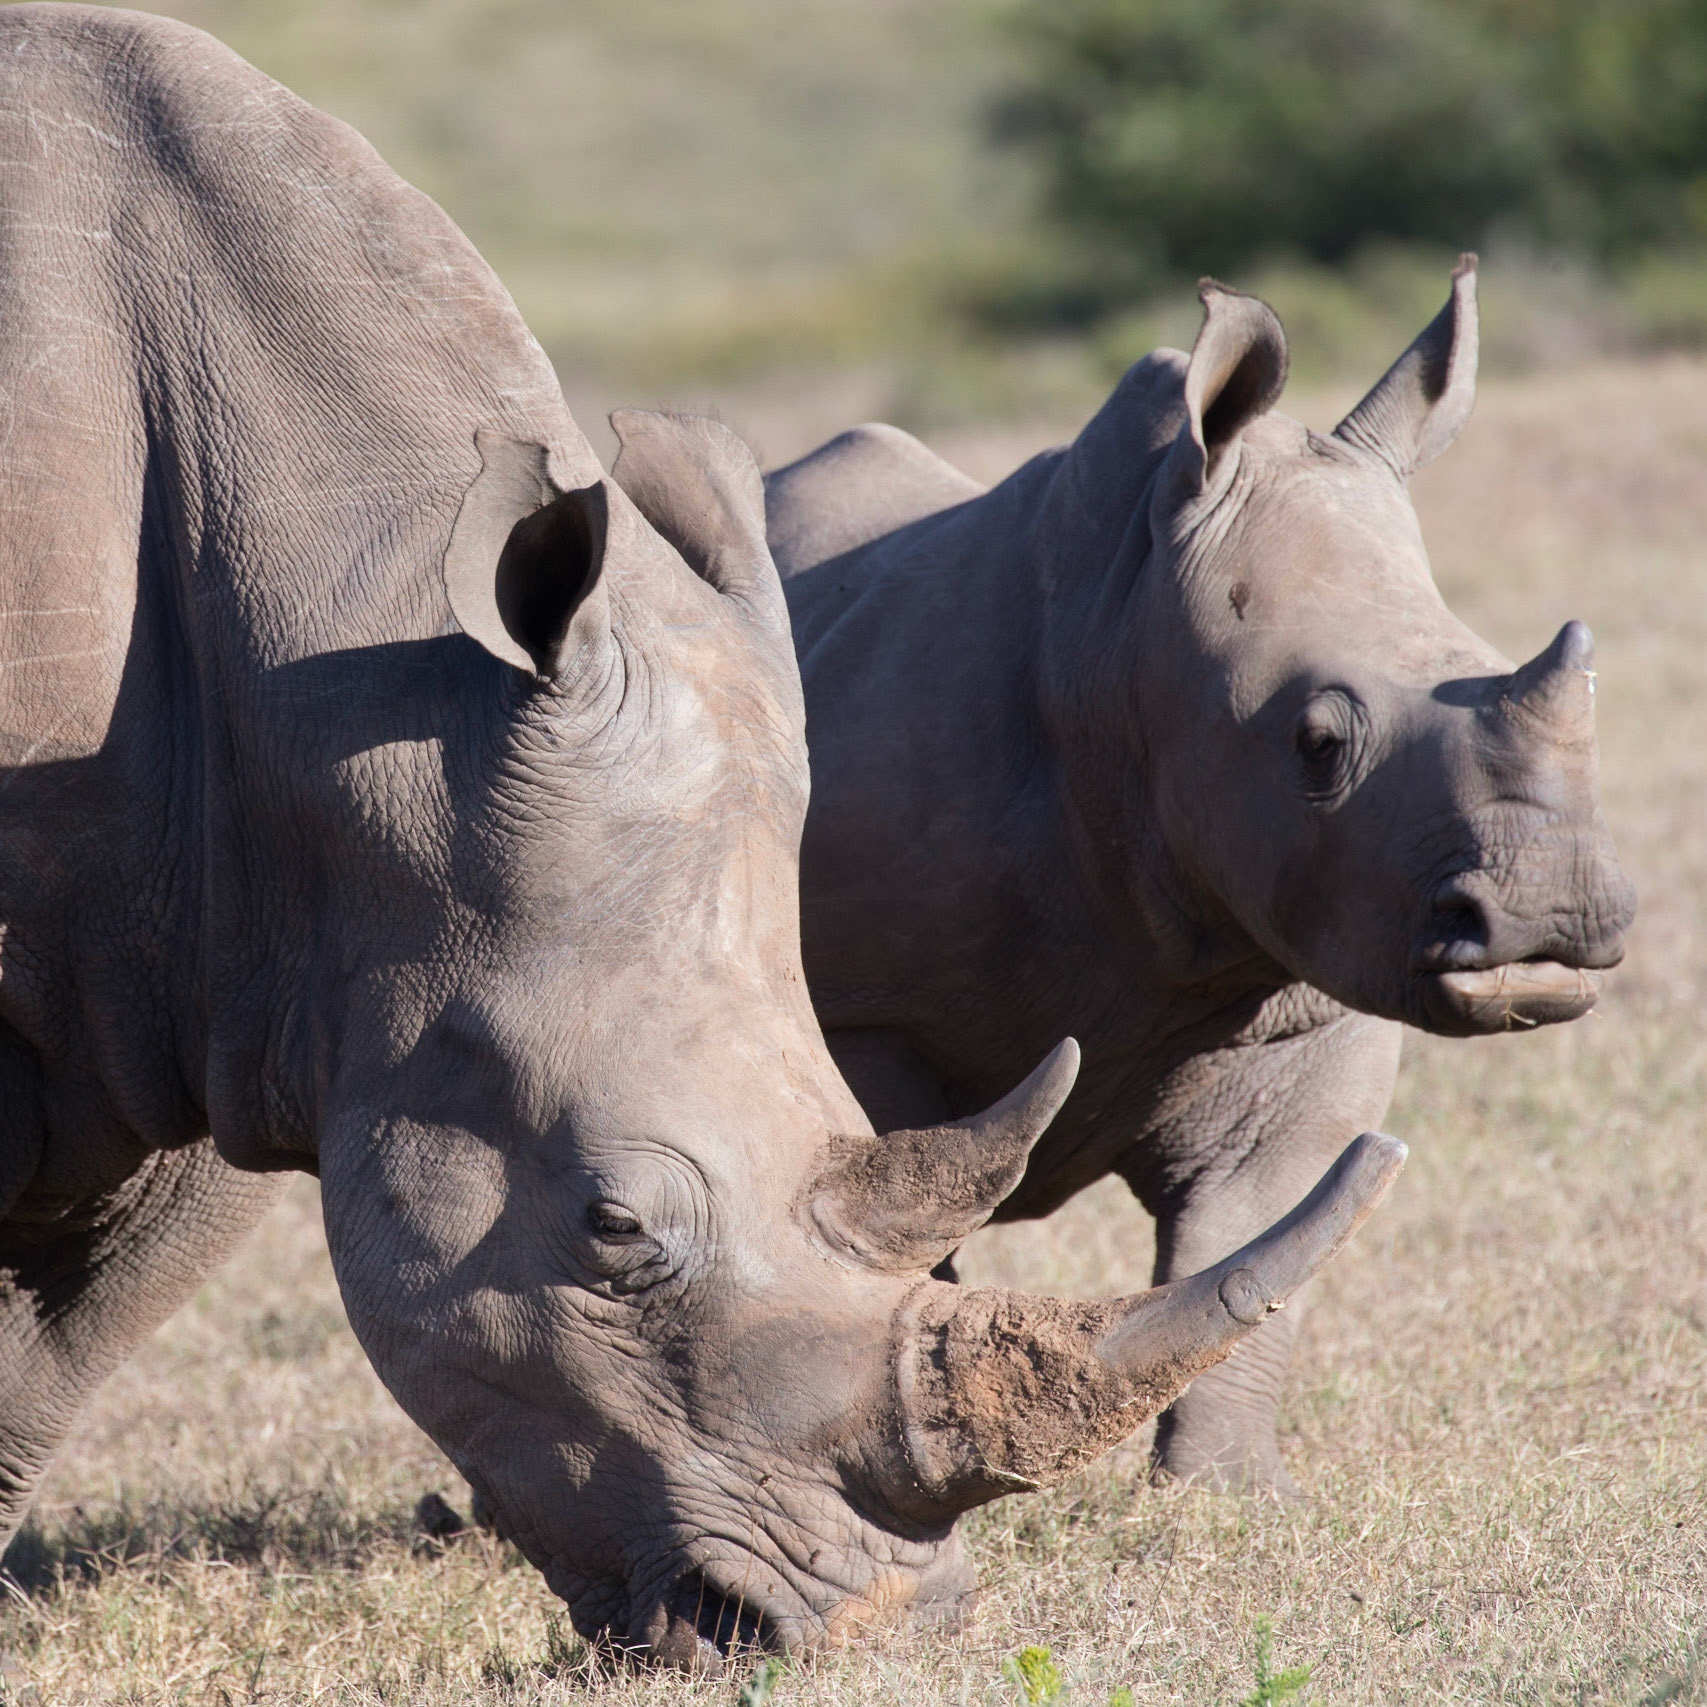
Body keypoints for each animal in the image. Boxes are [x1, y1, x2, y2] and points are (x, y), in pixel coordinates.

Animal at [769, 262, 1636, 1494]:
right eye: (1317, 742)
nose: (1543, 916)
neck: (1120, 640)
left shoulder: (1315, 976)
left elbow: (1260, 1234)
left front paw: (1227, 1493)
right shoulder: (862, 1002)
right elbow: (880, 1203)